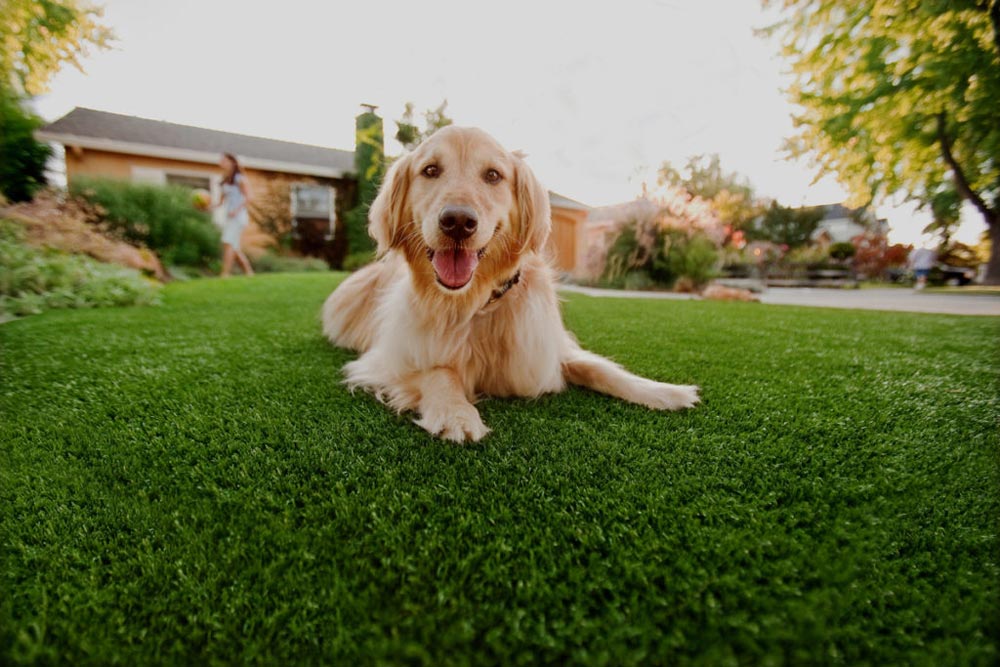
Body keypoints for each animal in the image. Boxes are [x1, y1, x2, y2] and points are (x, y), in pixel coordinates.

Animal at [320, 126, 696, 444]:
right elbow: (439, 371)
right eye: (430, 170)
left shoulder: (544, 350)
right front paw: (456, 414)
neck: (476, 303)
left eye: (493, 175)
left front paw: (664, 392)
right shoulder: (388, 359)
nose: (458, 221)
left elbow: (599, 367)